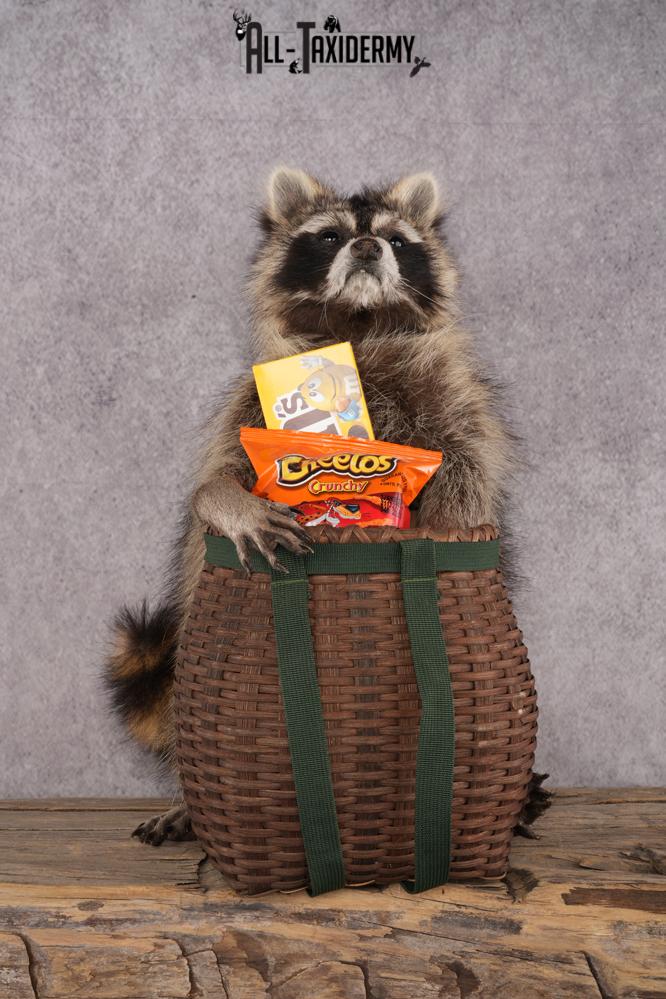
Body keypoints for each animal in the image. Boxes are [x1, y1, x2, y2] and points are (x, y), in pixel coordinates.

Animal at [106, 167, 515, 845]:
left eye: (397, 241)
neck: (359, 324)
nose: (369, 247)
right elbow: (213, 480)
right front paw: (227, 501)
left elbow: (465, 478)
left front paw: (427, 526)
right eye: (329, 236)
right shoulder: (248, 403)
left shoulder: (454, 400)